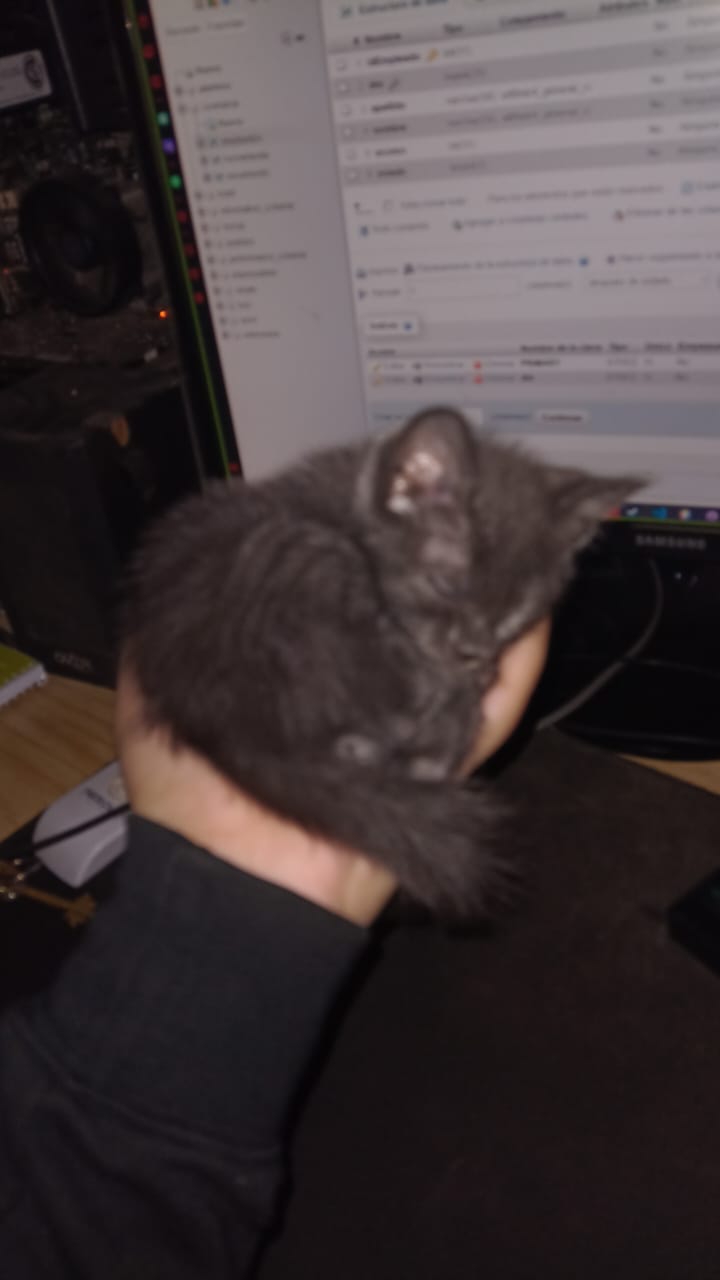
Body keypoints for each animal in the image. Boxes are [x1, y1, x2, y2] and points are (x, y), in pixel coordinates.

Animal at [120, 407, 639, 916]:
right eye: (447, 585)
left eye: (516, 613)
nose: (473, 650)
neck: (352, 503)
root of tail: (221, 722)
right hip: (306, 563)